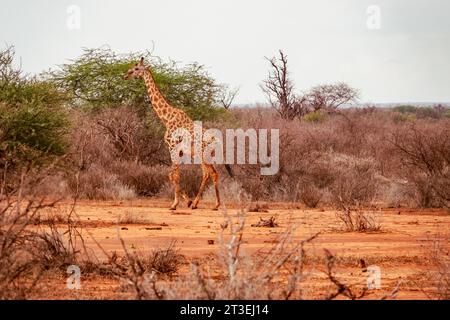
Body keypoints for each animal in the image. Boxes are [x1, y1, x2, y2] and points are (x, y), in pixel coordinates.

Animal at [124, 57, 222, 211]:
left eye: (136, 69)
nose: (125, 75)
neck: (166, 118)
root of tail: (215, 139)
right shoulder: (179, 151)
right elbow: (174, 175)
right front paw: (185, 201)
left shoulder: (172, 147)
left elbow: (173, 176)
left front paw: (175, 204)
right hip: (207, 155)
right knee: (213, 173)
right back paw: (212, 204)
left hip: (202, 154)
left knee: (208, 173)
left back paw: (200, 203)